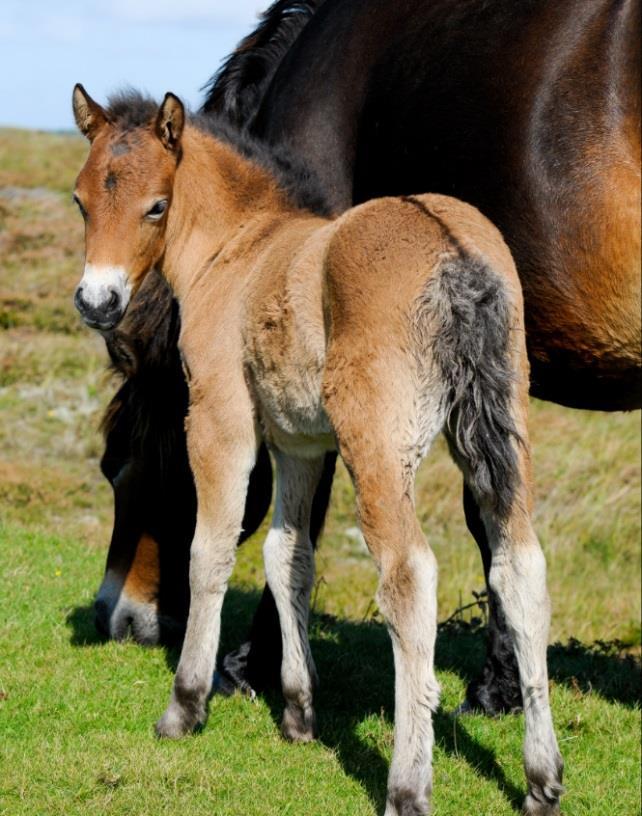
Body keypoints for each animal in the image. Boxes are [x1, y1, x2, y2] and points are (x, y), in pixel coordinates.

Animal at [70, 87, 560, 816]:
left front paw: (184, 706)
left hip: (378, 447)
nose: (97, 302)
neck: (239, 250)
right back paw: (541, 780)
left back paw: (407, 787)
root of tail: (458, 260)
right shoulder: (301, 444)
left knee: (409, 577)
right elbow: (289, 557)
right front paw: (299, 713)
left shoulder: (220, 420)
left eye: (155, 205)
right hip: (504, 432)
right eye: (81, 200)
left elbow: (211, 551)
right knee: (521, 565)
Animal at [92, 0, 636, 712]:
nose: (117, 618)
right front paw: (504, 679)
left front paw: (257, 661)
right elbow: (490, 515)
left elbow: (306, 515)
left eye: (121, 467)